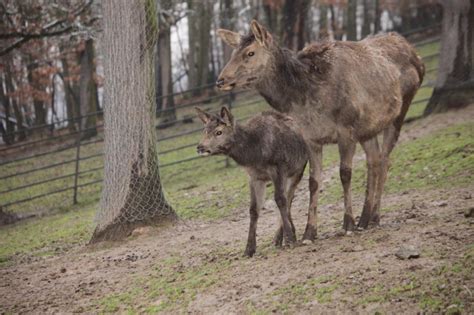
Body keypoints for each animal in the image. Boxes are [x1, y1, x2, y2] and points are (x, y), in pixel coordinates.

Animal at [195, 107, 310, 258]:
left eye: (219, 131)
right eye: (205, 130)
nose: (200, 147)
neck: (255, 155)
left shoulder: (279, 168)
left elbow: (280, 200)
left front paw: (290, 239)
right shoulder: (254, 177)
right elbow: (253, 209)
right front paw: (249, 249)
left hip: (298, 169)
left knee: (288, 198)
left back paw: (285, 236)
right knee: (288, 198)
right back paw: (282, 237)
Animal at [217, 20, 424, 242]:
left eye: (250, 53)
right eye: (233, 52)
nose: (220, 80)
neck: (307, 99)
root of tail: (415, 53)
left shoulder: (345, 129)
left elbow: (345, 174)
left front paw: (347, 224)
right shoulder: (311, 137)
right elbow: (313, 182)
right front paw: (309, 232)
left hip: (400, 110)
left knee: (385, 159)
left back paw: (374, 217)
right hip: (368, 127)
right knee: (374, 159)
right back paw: (364, 219)